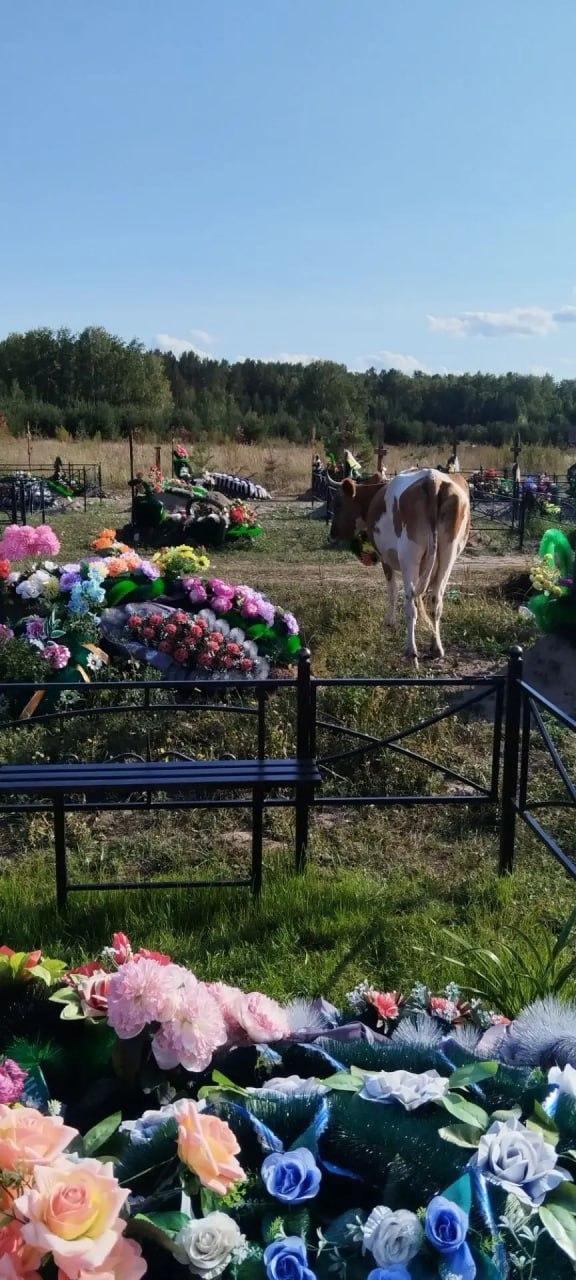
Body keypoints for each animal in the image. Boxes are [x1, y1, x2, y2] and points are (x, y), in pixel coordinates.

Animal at [330, 468, 470, 664]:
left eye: (338, 504)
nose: (332, 535)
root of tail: (432, 479)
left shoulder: (385, 558)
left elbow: (392, 590)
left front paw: (389, 622)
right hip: (448, 555)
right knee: (436, 601)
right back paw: (436, 647)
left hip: (408, 557)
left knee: (410, 604)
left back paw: (411, 650)